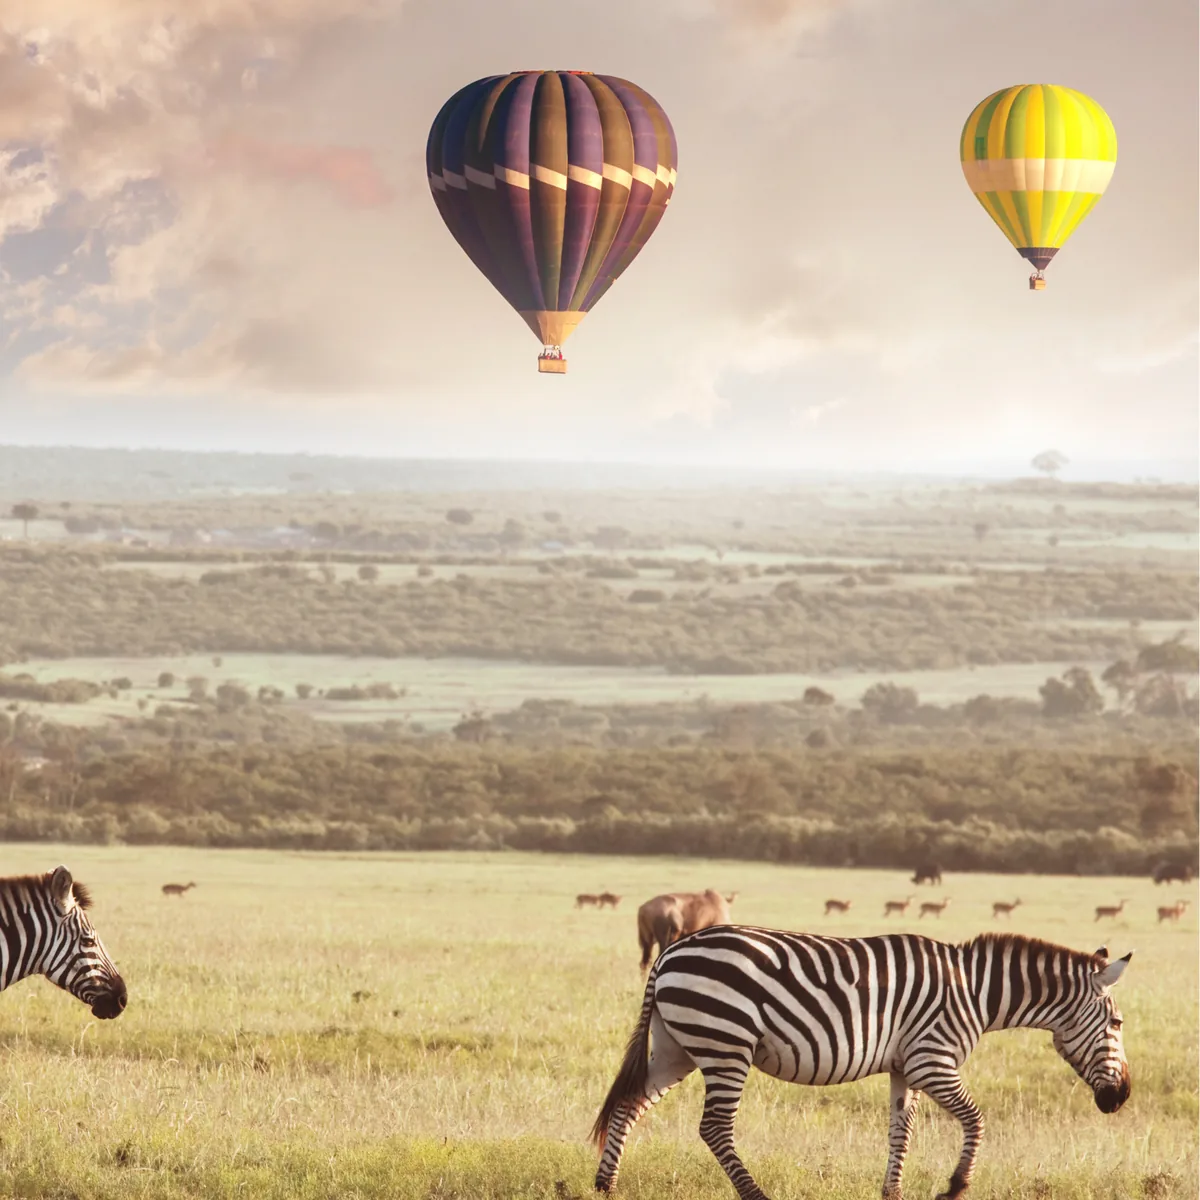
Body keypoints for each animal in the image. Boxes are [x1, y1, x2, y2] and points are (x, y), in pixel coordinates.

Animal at [593, 926, 1131, 1200]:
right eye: (1118, 1022)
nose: (1121, 1097)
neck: (975, 993)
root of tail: (671, 951)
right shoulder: (932, 1060)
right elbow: (976, 1119)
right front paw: (956, 1186)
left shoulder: (905, 1066)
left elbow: (900, 1131)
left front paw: (892, 1192)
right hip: (727, 1045)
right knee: (715, 1128)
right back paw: (757, 1195)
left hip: (677, 1047)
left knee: (629, 1104)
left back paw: (605, 1185)